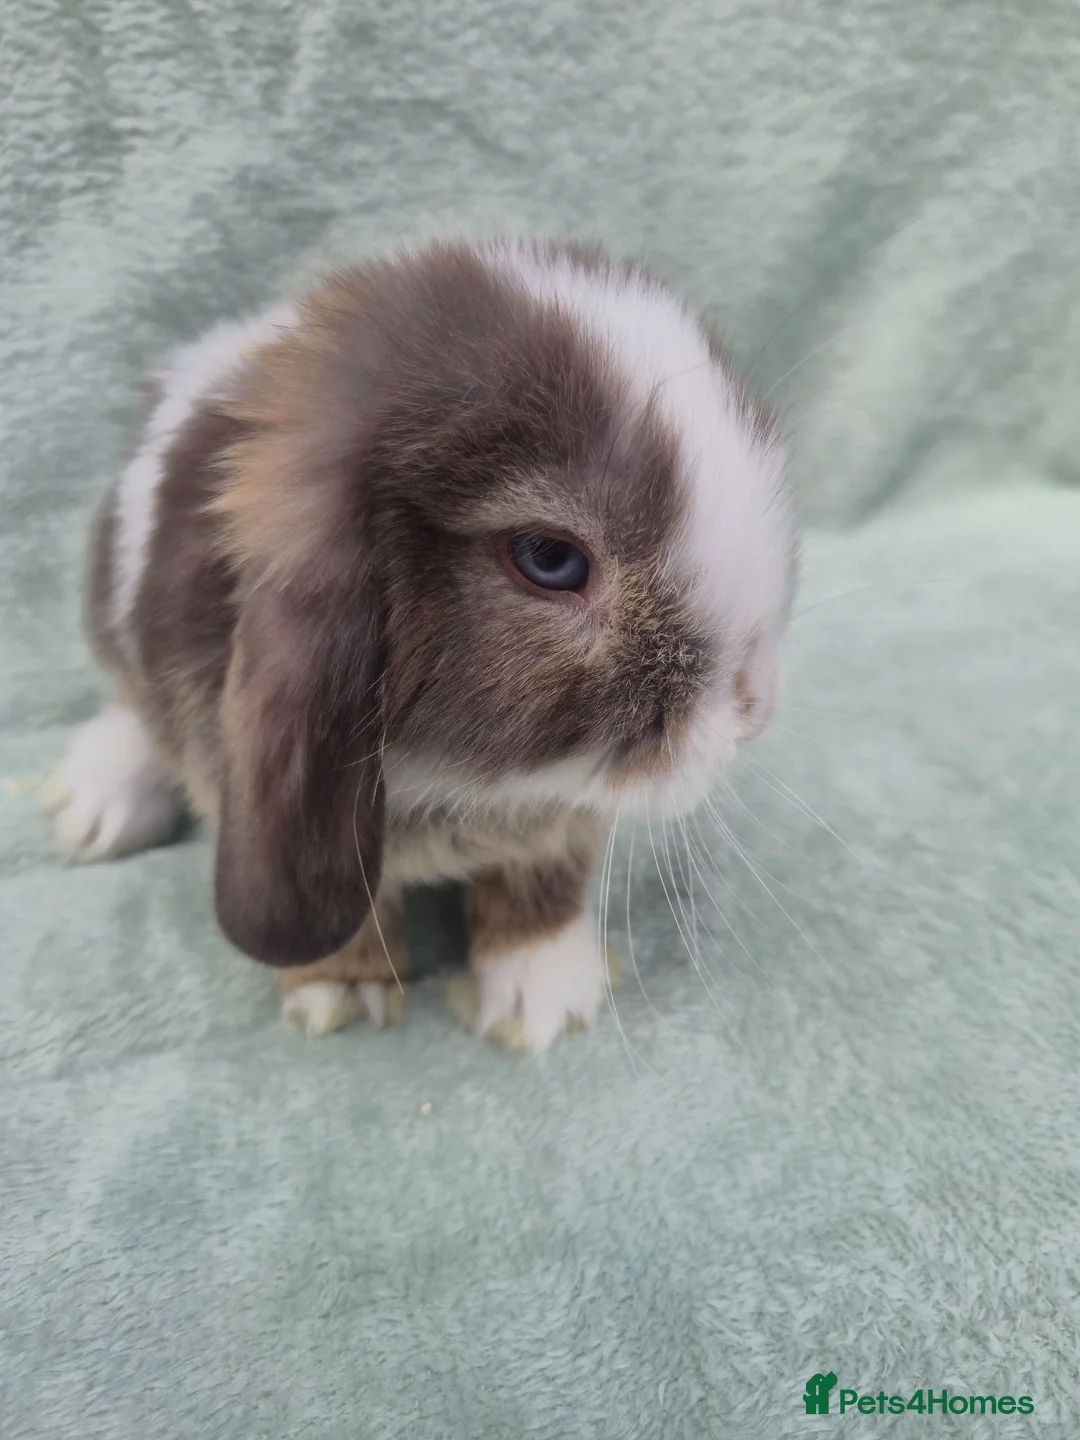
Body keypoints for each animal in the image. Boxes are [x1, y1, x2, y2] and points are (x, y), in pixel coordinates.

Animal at [47, 237, 797, 1052]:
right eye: (549, 559)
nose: (755, 704)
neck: (456, 781)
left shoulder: (556, 814)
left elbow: (541, 880)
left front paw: (544, 995)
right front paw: (342, 990)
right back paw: (96, 805)